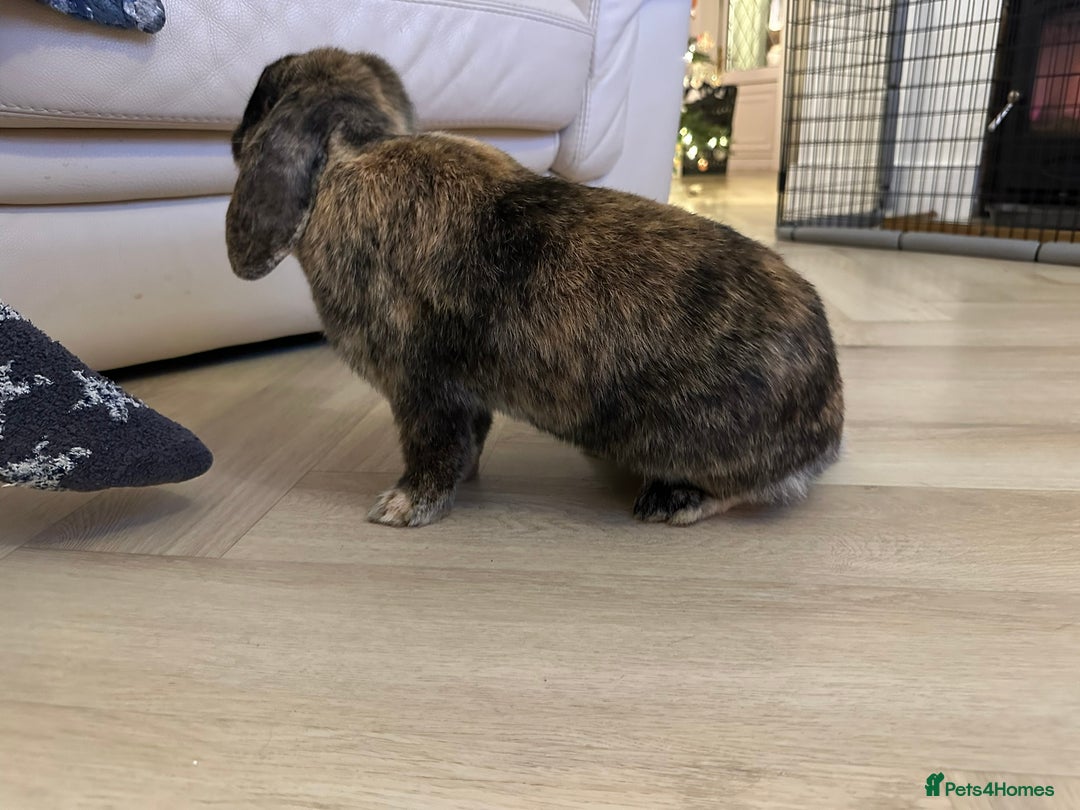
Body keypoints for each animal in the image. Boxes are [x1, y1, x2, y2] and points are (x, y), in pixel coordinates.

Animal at [226, 47, 844, 528]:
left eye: (258, 101)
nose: (232, 136)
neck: (354, 154)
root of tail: (828, 425)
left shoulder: (420, 387)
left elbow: (433, 449)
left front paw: (401, 509)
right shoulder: (460, 393)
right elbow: (468, 438)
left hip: (682, 439)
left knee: (744, 489)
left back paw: (672, 501)